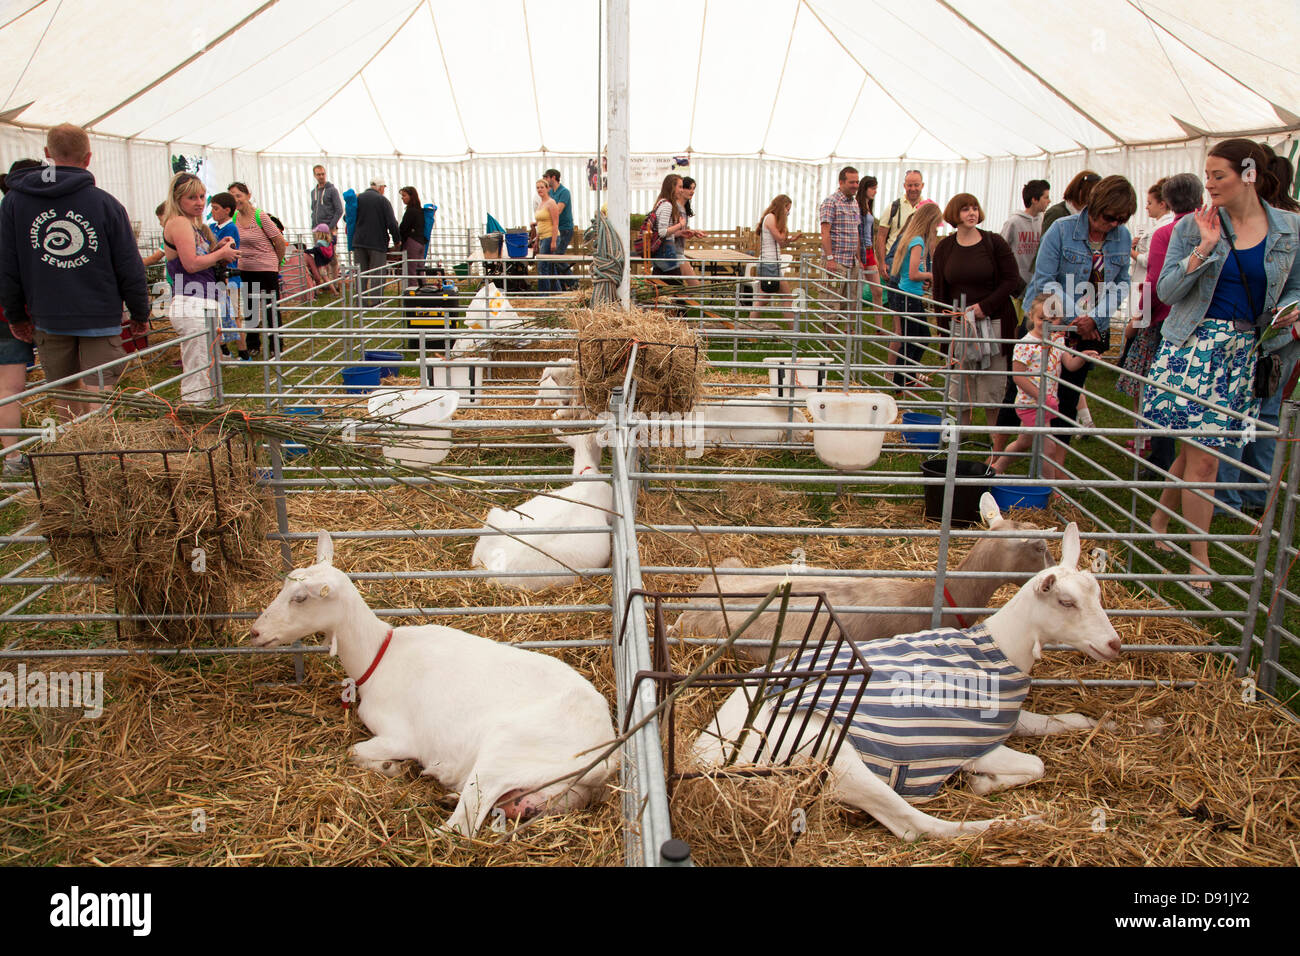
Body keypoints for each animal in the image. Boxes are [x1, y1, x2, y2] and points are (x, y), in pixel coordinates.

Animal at [256, 530, 621, 837]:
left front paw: (390, 767)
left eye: (300, 598)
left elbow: (353, 751)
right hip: (557, 792)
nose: (255, 632)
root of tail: (605, 757)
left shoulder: (400, 736)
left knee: (461, 827)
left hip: (503, 753)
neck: (379, 656)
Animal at [691, 522, 1149, 837]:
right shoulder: (967, 742)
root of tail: (705, 757)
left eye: (1099, 595)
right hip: (829, 755)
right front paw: (983, 781)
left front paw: (1108, 724)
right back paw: (1021, 822)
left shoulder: (1011, 718)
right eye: (1066, 601)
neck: (999, 648)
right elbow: (1034, 764)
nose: (1114, 644)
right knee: (915, 824)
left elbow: (1063, 723)